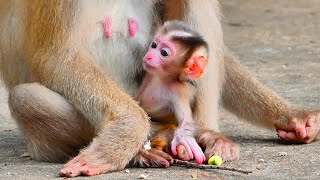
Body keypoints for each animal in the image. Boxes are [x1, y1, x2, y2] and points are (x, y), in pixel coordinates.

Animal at [136, 20, 209, 164]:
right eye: (154, 45)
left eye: (164, 52)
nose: (149, 56)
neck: (164, 80)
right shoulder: (149, 76)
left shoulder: (178, 92)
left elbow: (186, 120)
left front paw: (183, 137)